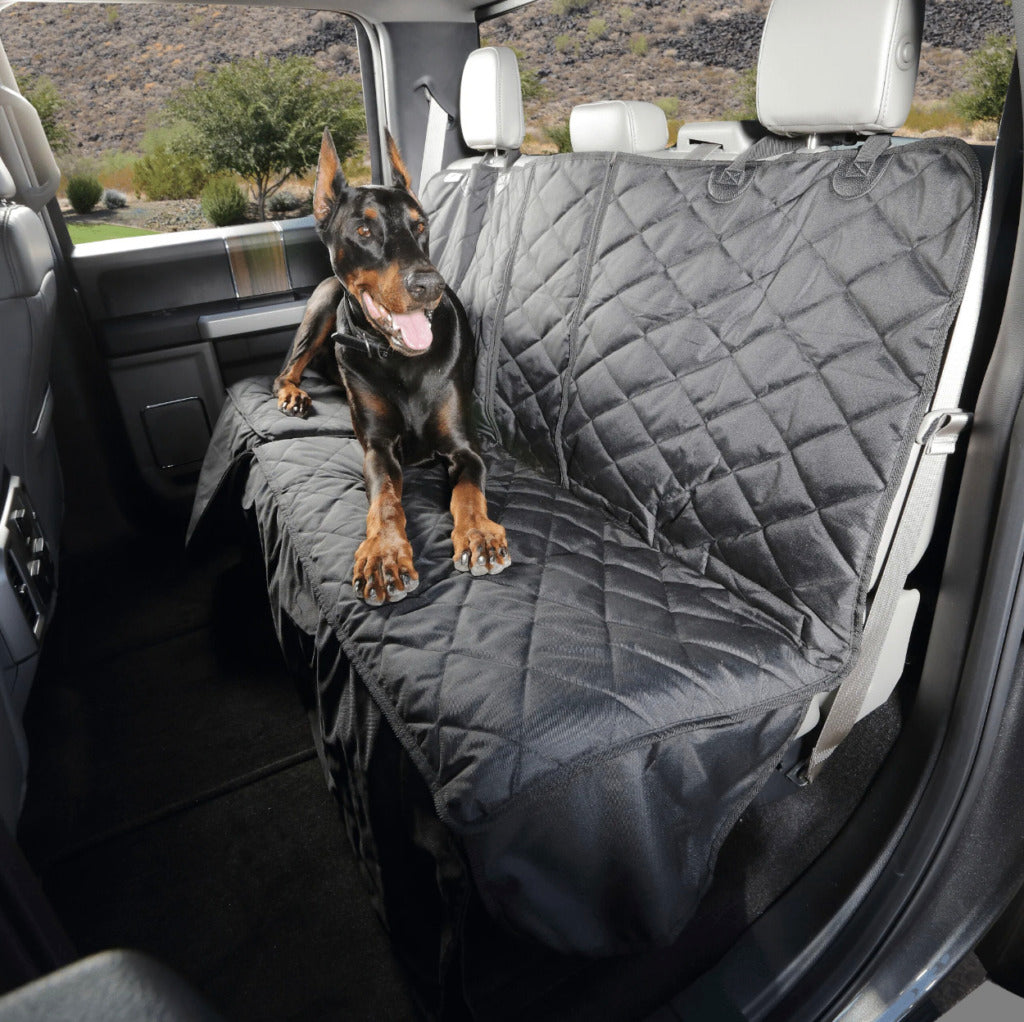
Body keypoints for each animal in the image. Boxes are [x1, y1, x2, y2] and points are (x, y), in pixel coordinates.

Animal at [274, 128, 509, 606]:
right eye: (363, 229)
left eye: (420, 226)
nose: (429, 285)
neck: (402, 360)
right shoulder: (378, 448)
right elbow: (384, 500)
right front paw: (384, 554)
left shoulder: (464, 445)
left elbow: (468, 491)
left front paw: (477, 534)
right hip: (322, 306)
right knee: (286, 369)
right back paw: (292, 394)